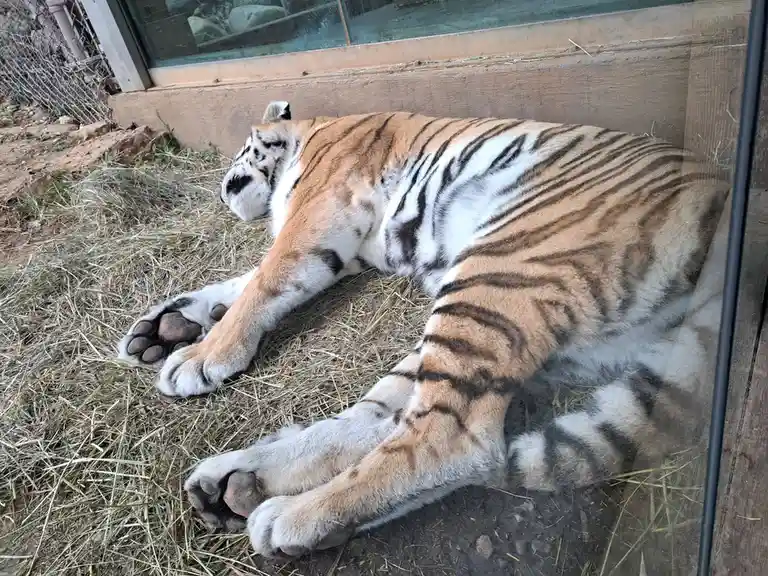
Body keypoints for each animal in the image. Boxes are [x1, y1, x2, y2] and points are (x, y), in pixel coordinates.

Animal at [117, 100, 729, 558]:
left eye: (243, 148)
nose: (222, 189)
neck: (309, 133)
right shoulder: (345, 251)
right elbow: (244, 283)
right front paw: (163, 328)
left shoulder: (320, 212)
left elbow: (264, 279)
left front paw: (199, 358)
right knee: (386, 423)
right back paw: (234, 486)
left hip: (502, 268)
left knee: (458, 441)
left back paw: (286, 516)